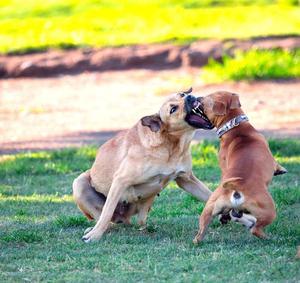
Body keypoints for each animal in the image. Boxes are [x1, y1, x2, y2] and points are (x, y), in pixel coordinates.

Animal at [73, 89, 213, 244]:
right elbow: (106, 212)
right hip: (79, 183)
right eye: (173, 109)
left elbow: (210, 195)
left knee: (140, 221)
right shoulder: (120, 180)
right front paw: (95, 235)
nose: (189, 97)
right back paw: (94, 229)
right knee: (105, 219)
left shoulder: (186, 179)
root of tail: (123, 218)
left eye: (181, 95)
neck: (170, 146)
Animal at [191, 91, 288, 244]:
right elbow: (276, 164)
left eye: (205, 100)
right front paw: (281, 170)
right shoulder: (271, 158)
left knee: (200, 232)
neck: (235, 128)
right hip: (269, 210)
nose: (196, 98)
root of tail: (236, 188)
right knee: (256, 229)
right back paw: (269, 238)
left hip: (209, 208)